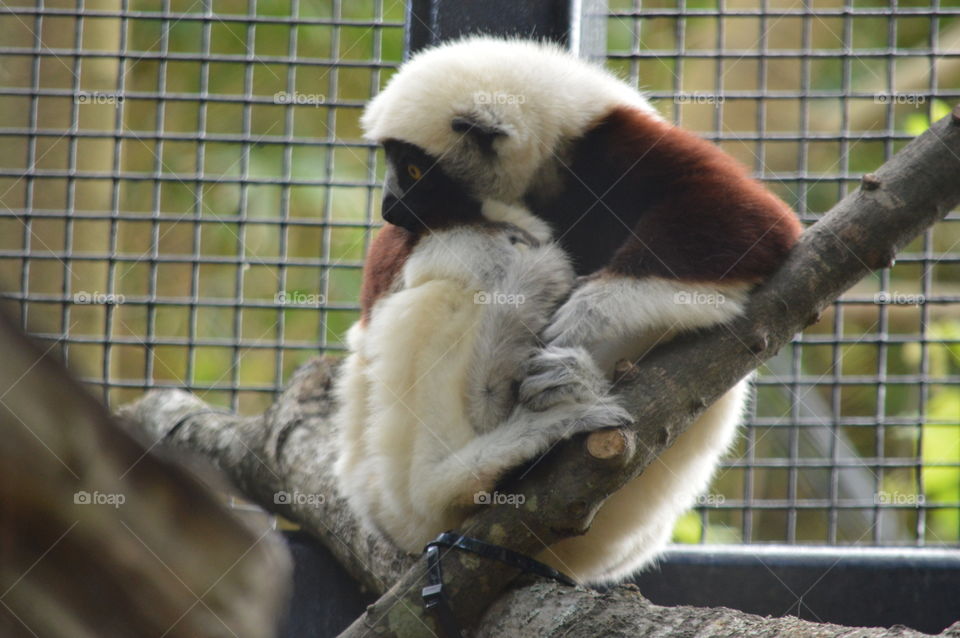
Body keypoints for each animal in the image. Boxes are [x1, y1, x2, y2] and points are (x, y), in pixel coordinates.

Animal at [338, 36, 803, 585]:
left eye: (413, 169)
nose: (389, 207)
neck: (544, 173)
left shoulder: (613, 140)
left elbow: (749, 221)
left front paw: (588, 316)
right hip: (381, 495)